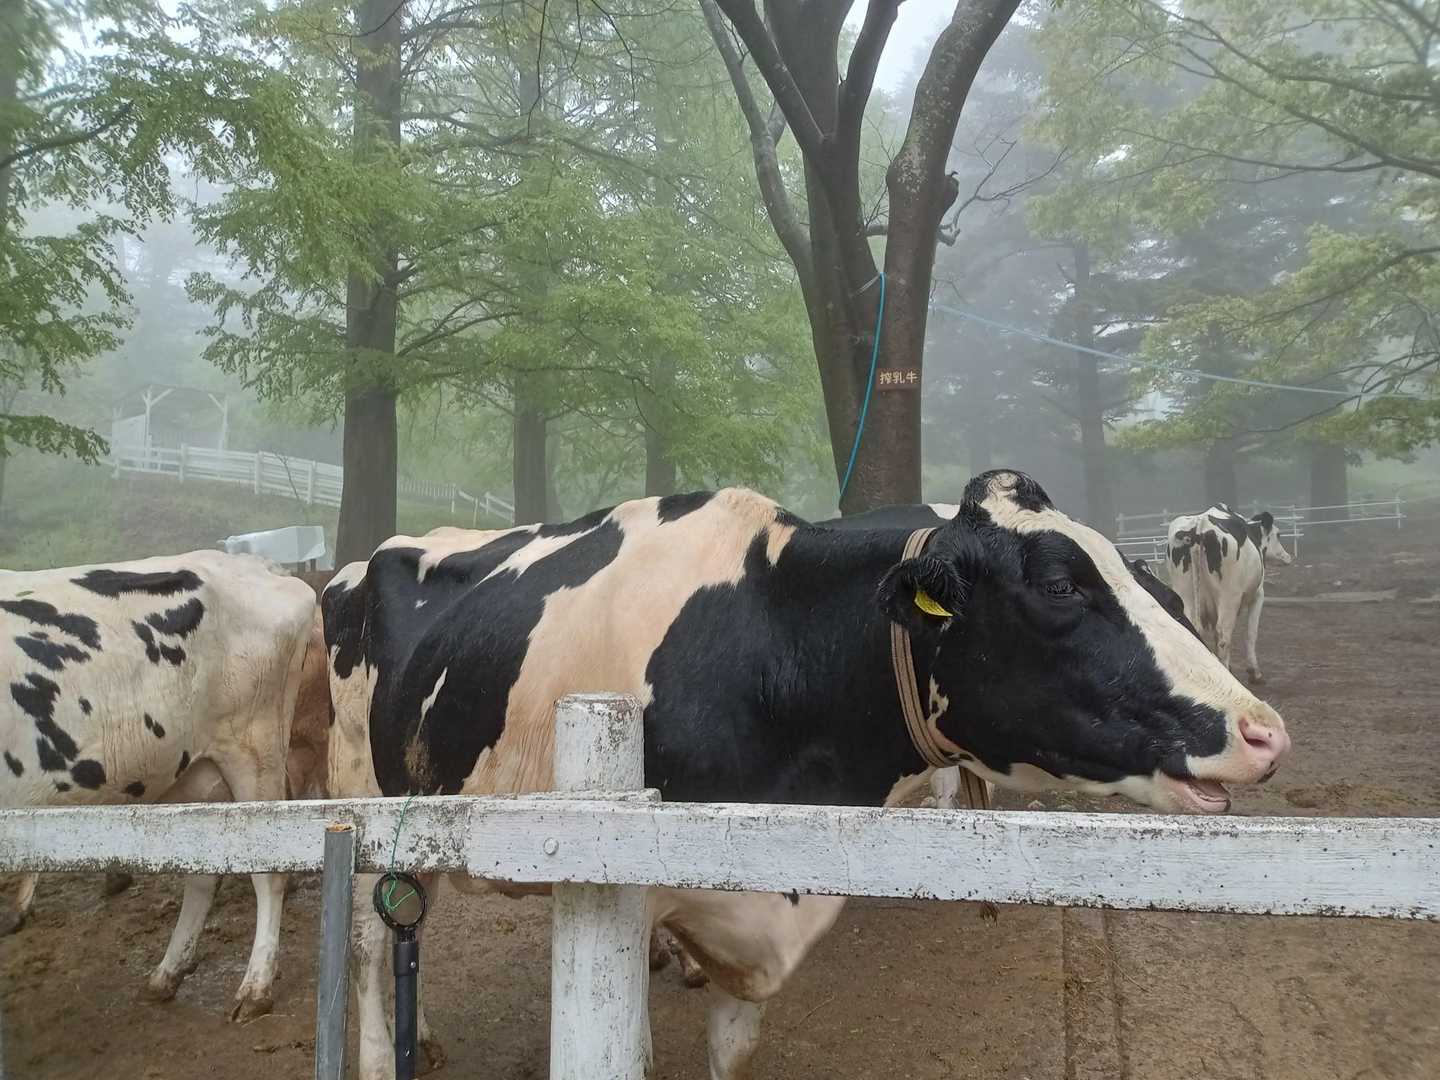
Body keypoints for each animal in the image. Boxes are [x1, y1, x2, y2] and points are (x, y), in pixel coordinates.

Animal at [0, 551, 316, 1019]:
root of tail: (257, 566)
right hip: (191, 774)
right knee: (202, 874)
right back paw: (168, 972)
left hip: (255, 752)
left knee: (269, 873)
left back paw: (256, 986)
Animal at [1167, 504, 1293, 683]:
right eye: (1278, 535)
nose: (1288, 557)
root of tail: (1200, 526)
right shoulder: (1258, 595)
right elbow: (1251, 633)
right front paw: (1254, 672)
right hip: (1229, 598)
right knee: (1223, 636)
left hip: (1184, 593)